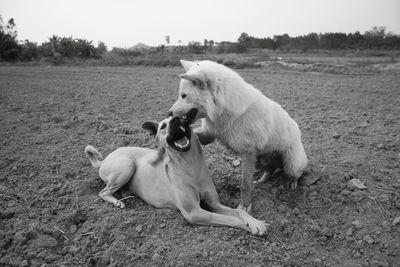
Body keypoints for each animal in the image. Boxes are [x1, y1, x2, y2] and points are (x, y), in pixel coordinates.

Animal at [84, 116, 268, 236]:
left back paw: (125, 193)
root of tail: (104, 160)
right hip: (126, 165)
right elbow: (232, 219)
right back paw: (117, 202)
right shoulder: (194, 212)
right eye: (163, 126)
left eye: (182, 119)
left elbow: (239, 212)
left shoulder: (214, 203)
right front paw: (249, 226)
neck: (190, 166)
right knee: (103, 192)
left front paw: (255, 222)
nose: (175, 120)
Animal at [169, 60, 310, 214]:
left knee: (294, 174)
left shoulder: (248, 153)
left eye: (183, 95)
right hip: (259, 160)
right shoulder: (210, 135)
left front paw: (245, 206)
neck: (224, 107)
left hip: (291, 165)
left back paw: (292, 183)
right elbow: (197, 133)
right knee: (270, 170)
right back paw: (262, 180)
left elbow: (245, 184)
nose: (169, 113)